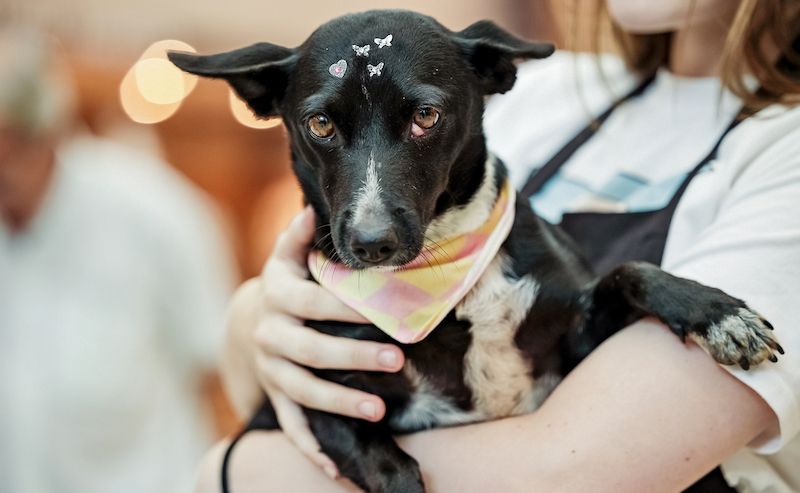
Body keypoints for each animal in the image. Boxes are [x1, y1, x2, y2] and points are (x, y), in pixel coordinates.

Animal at [169, 9, 780, 490]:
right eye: (319, 124)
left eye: (426, 116)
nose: (370, 244)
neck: (448, 277)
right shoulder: (316, 398)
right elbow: (392, 469)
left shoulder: (578, 345)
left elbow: (629, 271)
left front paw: (717, 313)